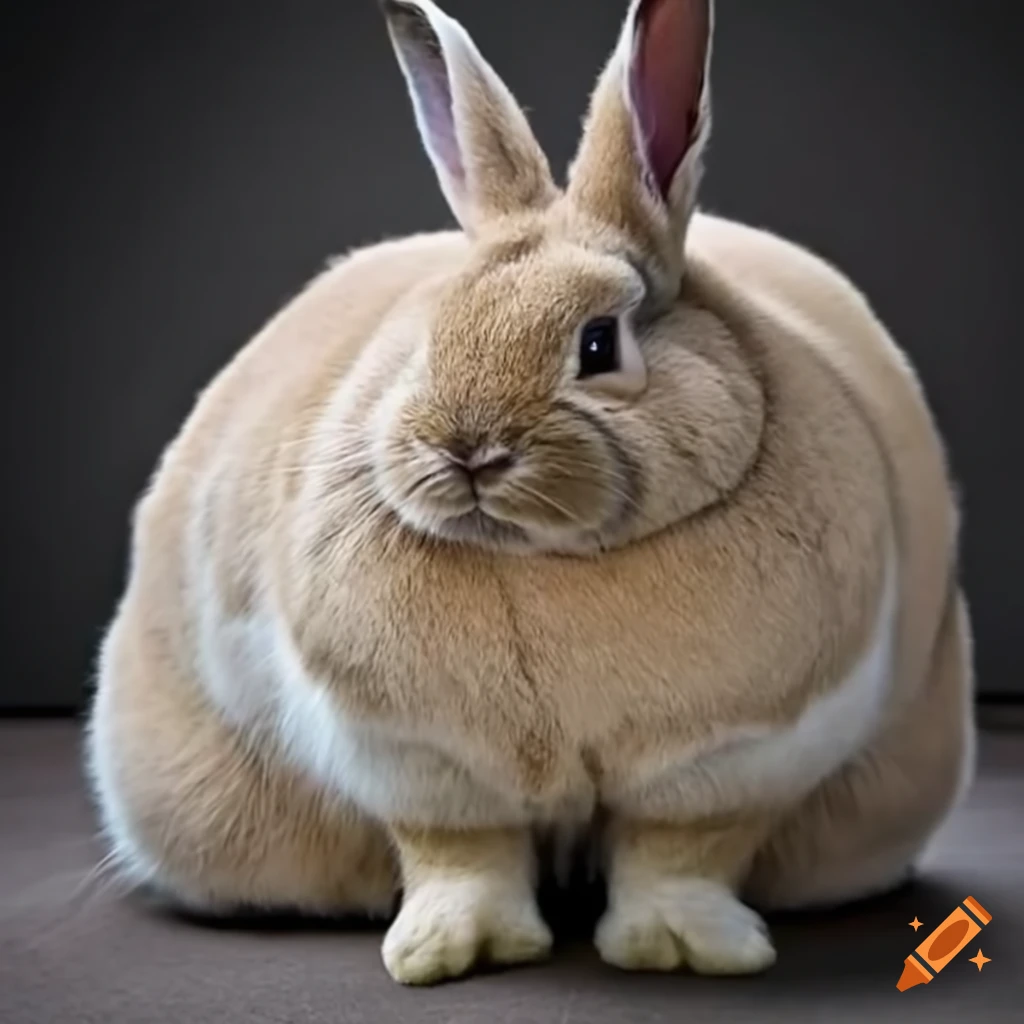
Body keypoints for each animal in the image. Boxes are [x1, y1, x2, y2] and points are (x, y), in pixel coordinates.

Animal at [85, 0, 975, 987]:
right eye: (433, 332)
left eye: (597, 343)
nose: (467, 450)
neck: (545, 559)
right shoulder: (423, 763)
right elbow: (462, 857)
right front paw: (454, 951)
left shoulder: (731, 761)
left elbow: (681, 855)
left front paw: (683, 950)